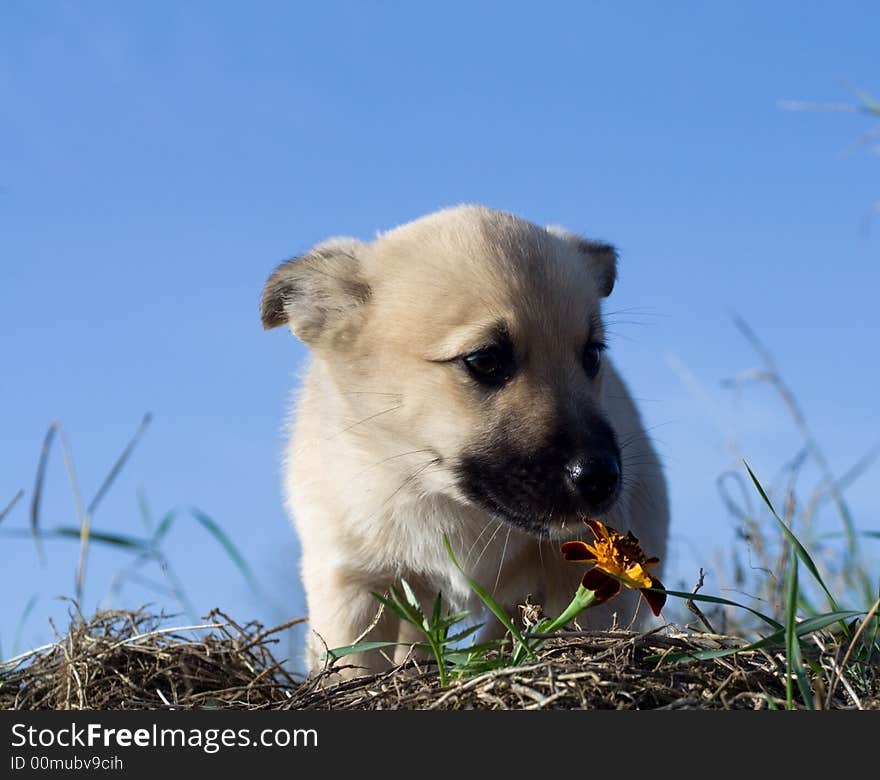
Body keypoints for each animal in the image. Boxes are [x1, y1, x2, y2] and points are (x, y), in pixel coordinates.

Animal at [260, 207, 668, 676]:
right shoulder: (353, 583)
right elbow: (352, 668)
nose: (601, 478)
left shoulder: (578, 579)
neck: (443, 499)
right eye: (485, 360)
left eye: (592, 355)